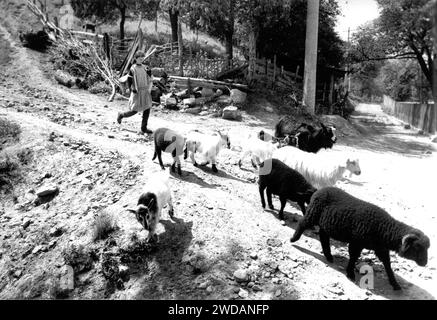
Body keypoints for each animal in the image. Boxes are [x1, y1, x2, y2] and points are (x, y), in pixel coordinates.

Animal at [290, 186, 430, 292]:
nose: (424, 263)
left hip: (326, 224)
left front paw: (395, 284)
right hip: (313, 213)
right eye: (417, 247)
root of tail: (319, 190)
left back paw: (329, 256)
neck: (383, 229)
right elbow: (353, 257)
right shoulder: (356, 242)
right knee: (303, 223)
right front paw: (350, 273)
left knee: (323, 237)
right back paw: (294, 239)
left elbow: (387, 264)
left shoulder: (380, 248)